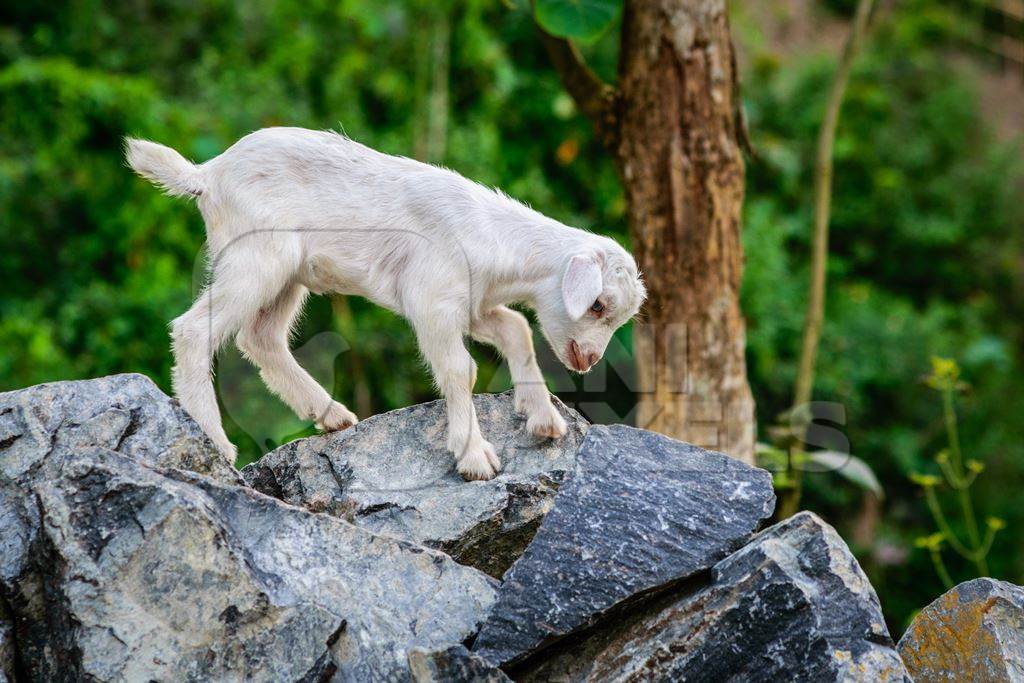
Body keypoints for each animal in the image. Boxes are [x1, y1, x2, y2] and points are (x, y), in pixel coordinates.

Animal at [125, 127, 638, 481]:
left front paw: (543, 418)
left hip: (289, 275)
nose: (589, 360)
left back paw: (330, 414)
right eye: (598, 305)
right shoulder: (432, 301)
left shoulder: (471, 306)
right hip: (257, 257)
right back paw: (215, 441)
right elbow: (461, 370)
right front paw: (474, 456)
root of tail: (206, 174)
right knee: (194, 329)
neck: (491, 238)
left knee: (262, 338)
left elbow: (517, 329)